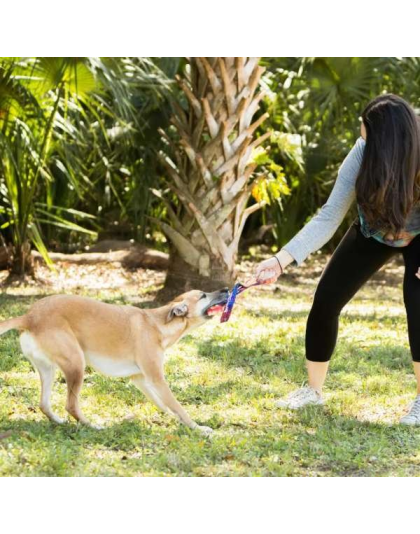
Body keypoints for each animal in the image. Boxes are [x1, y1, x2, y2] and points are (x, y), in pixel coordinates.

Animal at [0, 292, 230, 438]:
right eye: (203, 295)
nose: (226, 289)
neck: (159, 324)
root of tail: (29, 317)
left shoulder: (141, 379)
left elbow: (164, 405)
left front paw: (176, 421)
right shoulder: (156, 378)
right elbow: (178, 406)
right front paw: (197, 428)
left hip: (48, 370)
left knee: (44, 404)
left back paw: (59, 421)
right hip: (76, 364)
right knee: (71, 405)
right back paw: (94, 427)